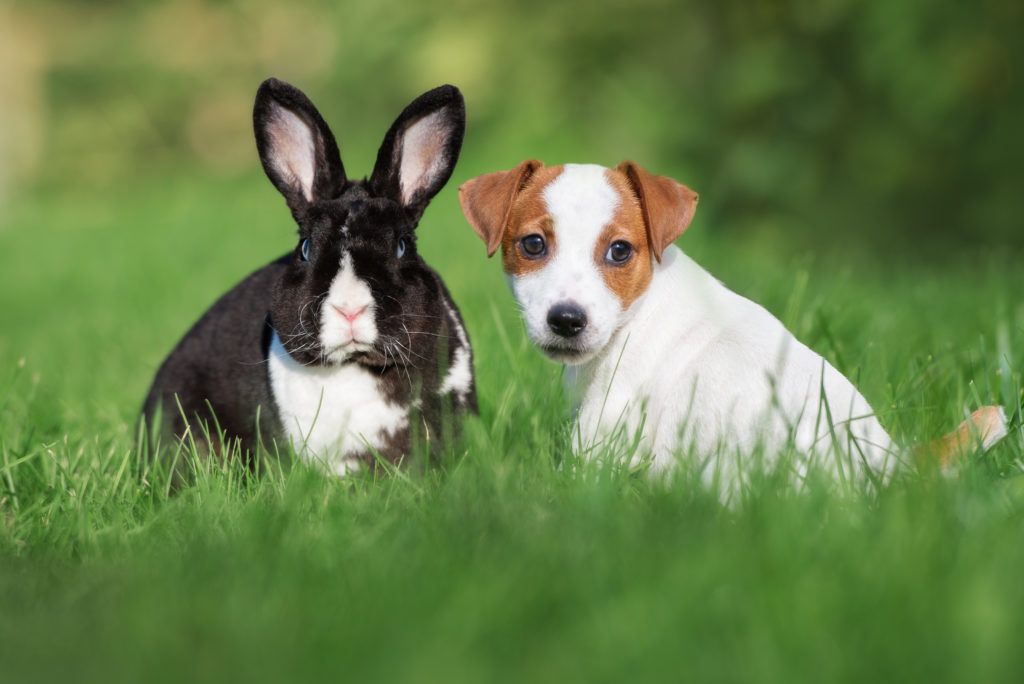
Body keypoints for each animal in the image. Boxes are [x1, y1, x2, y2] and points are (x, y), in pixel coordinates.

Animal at [460, 158, 1003, 485]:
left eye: (619, 251)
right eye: (533, 244)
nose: (567, 320)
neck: (642, 307)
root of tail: (891, 465)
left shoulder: (601, 438)